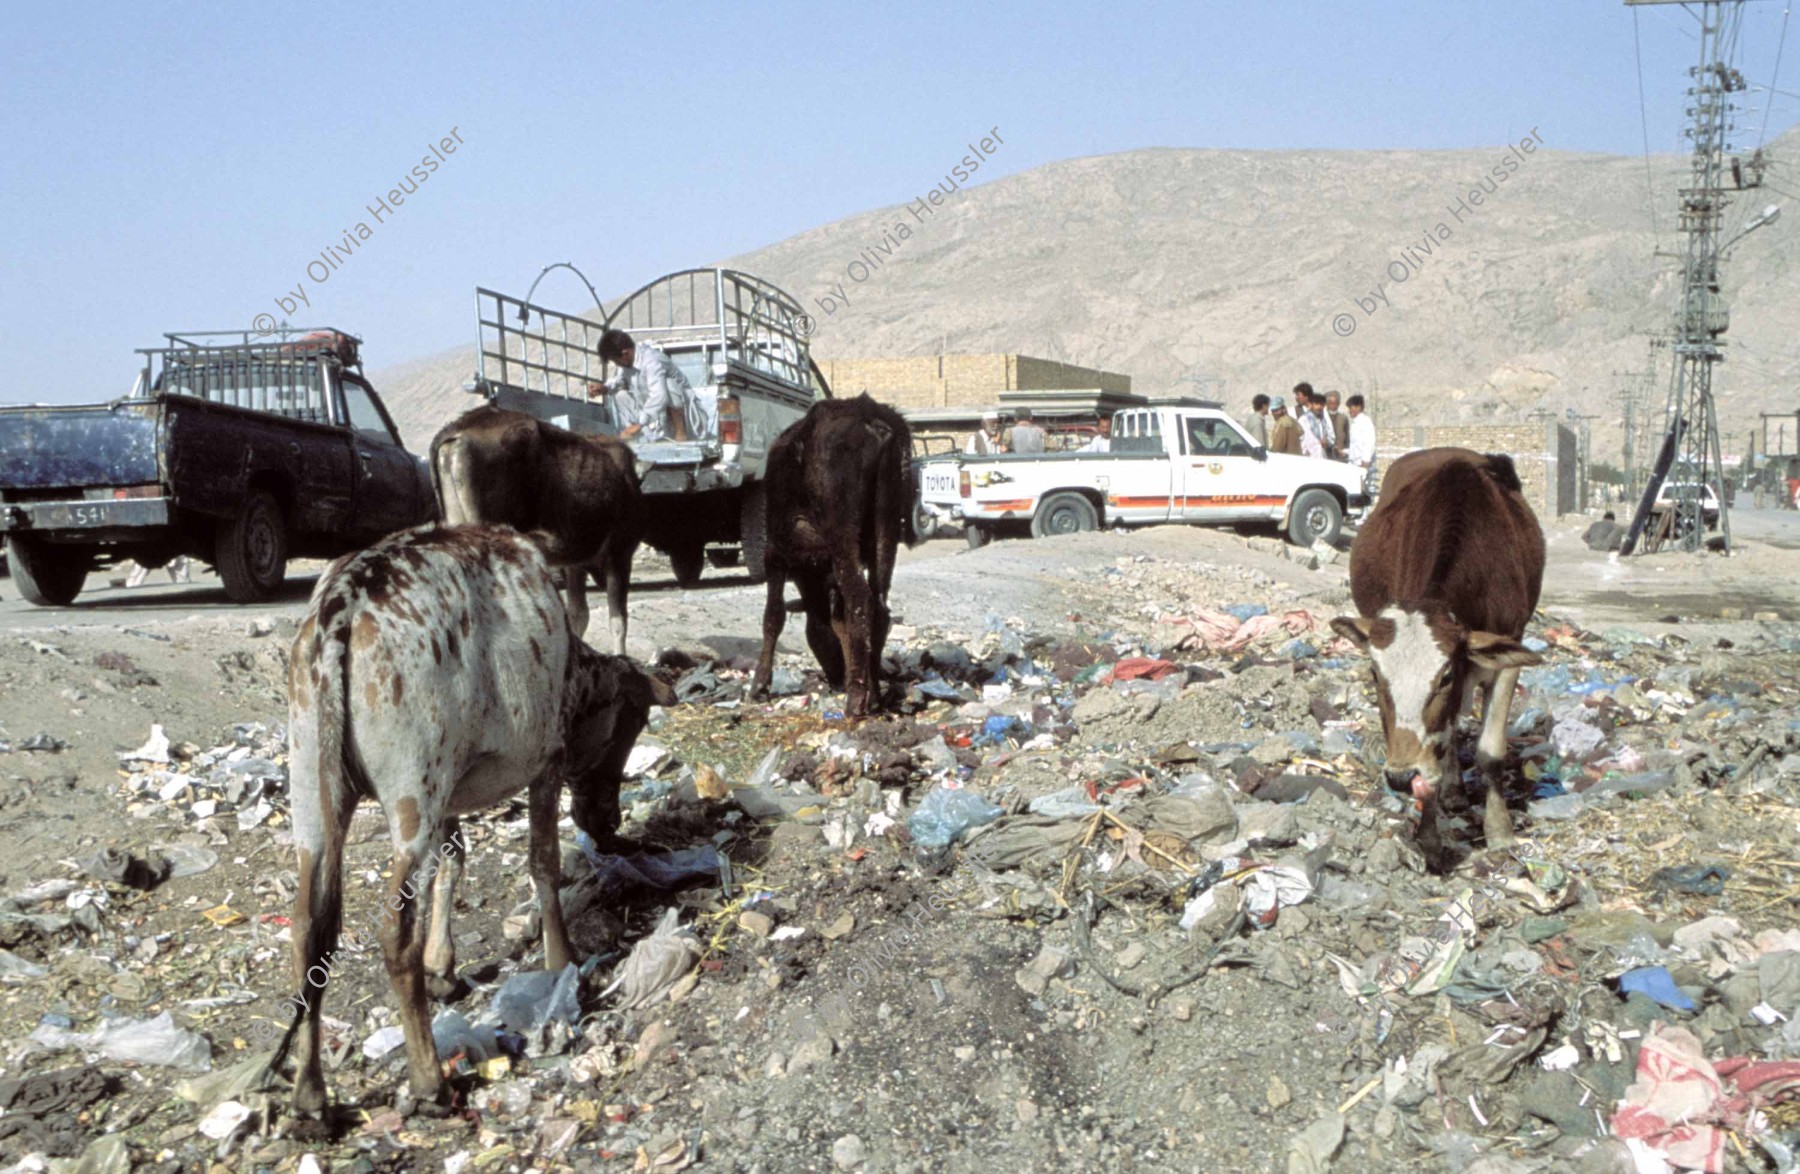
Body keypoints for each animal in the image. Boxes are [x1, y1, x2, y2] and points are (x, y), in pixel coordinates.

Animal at [748, 396, 914, 716]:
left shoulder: (776, 553)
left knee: (861, 601)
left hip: (842, 535)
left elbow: (773, 616)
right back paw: (873, 696)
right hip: (886, 529)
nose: (836, 675)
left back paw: (855, 700)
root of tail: (869, 415)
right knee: (879, 607)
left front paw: (760, 684)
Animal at [1324, 450, 1548, 871]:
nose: (1400, 777)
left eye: (1444, 677)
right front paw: (1429, 837)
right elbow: (1438, 747)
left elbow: (1490, 751)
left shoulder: (1507, 655)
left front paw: (1500, 831)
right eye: (1375, 675)